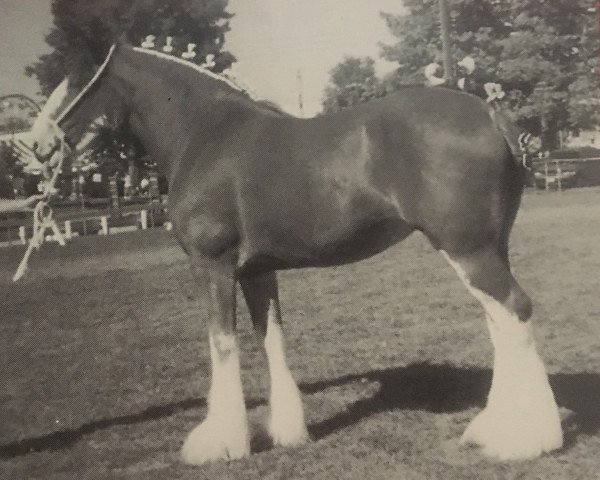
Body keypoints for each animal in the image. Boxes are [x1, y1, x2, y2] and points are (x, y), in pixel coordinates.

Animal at [29, 43, 564, 464]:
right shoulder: (257, 272)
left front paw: (221, 443)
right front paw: (287, 432)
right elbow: (272, 340)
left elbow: (221, 343)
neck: (203, 134)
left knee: (512, 310)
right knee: (499, 320)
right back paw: (496, 429)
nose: (34, 145)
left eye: (75, 81)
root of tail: (489, 113)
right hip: (489, 247)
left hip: (467, 248)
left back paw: (524, 441)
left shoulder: (212, 265)